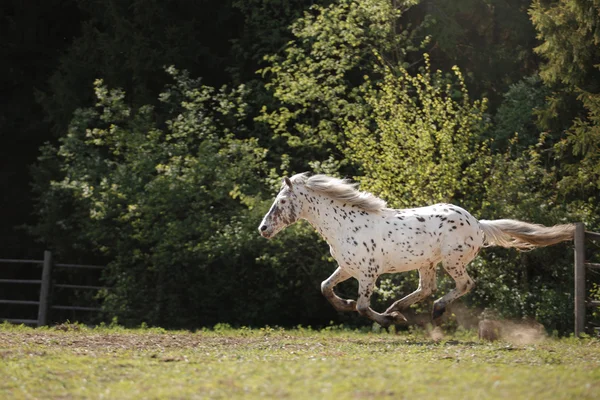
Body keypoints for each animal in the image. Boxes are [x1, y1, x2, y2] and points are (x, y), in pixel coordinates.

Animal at [258, 173, 576, 326]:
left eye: (282, 201)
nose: (263, 229)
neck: (345, 224)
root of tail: (478, 224)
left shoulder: (369, 273)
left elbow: (362, 307)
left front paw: (389, 321)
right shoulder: (348, 268)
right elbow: (326, 288)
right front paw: (351, 305)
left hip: (453, 261)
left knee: (464, 285)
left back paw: (433, 310)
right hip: (427, 263)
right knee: (426, 288)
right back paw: (398, 308)